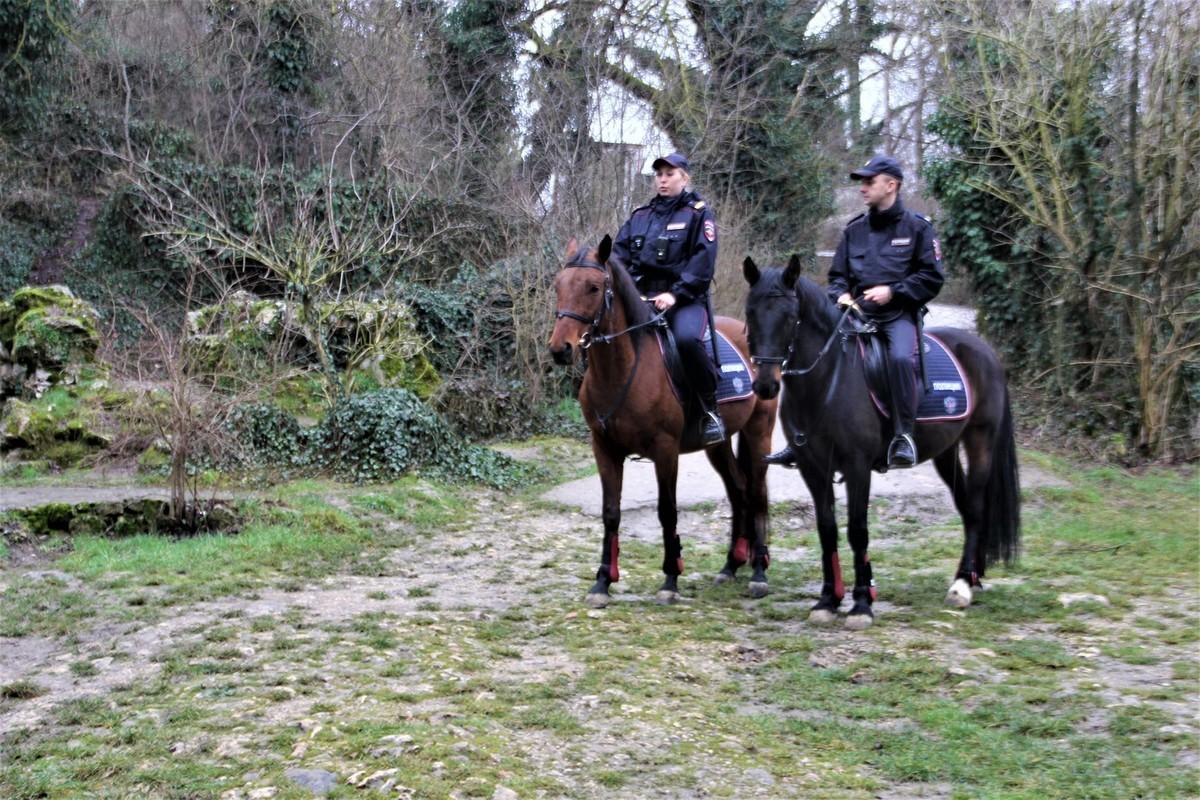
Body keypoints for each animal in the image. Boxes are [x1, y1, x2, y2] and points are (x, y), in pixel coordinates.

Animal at [549, 237, 777, 606]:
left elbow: (667, 510)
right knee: (738, 489)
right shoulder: (604, 448)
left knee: (756, 492)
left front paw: (670, 578)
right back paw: (731, 565)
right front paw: (603, 582)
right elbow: (611, 512)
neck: (625, 368)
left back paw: (758, 572)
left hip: (759, 432)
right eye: (558, 286)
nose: (560, 349)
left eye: (594, 287)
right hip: (718, 443)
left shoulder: (665, 450)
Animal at [744, 256, 1017, 633]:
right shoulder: (813, 467)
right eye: (751, 313)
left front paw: (862, 604)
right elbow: (827, 529)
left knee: (976, 506)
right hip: (945, 452)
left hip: (981, 440)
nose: (765, 386)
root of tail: (984, 351)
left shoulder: (858, 466)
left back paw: (962, 585)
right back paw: (973, 577)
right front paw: (828, 601)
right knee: (965, 505)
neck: (828, 379)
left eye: (789, 316)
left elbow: (858, 531)